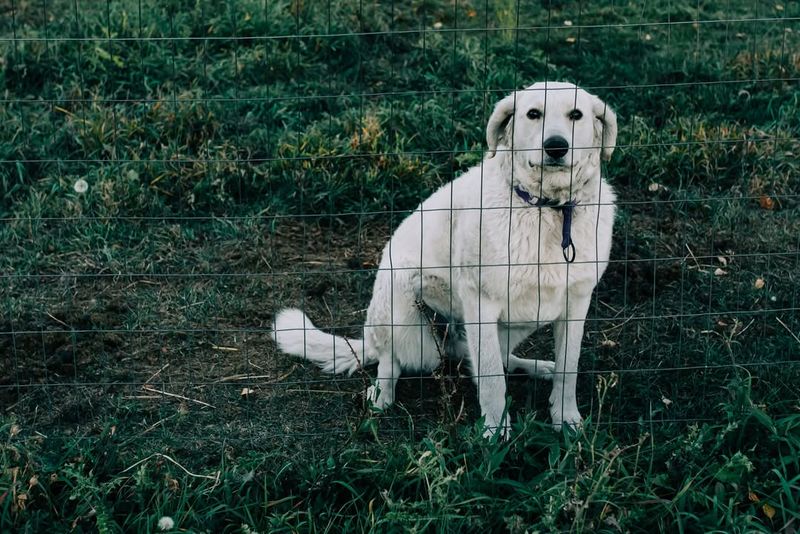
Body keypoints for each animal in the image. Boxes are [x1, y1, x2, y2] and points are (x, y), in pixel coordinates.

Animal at [276, 80, 620, 440]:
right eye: (533, 114)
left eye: (576, 115)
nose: (556, 147)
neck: (548, 210)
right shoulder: (480, 303)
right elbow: (492, 380)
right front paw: (495, 434)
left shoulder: (576, 303)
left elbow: (568, 369)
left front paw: (566, 419)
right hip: (400, 306)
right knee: (391, 362)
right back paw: (380, 398)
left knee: (491, 359)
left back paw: (535, 367)